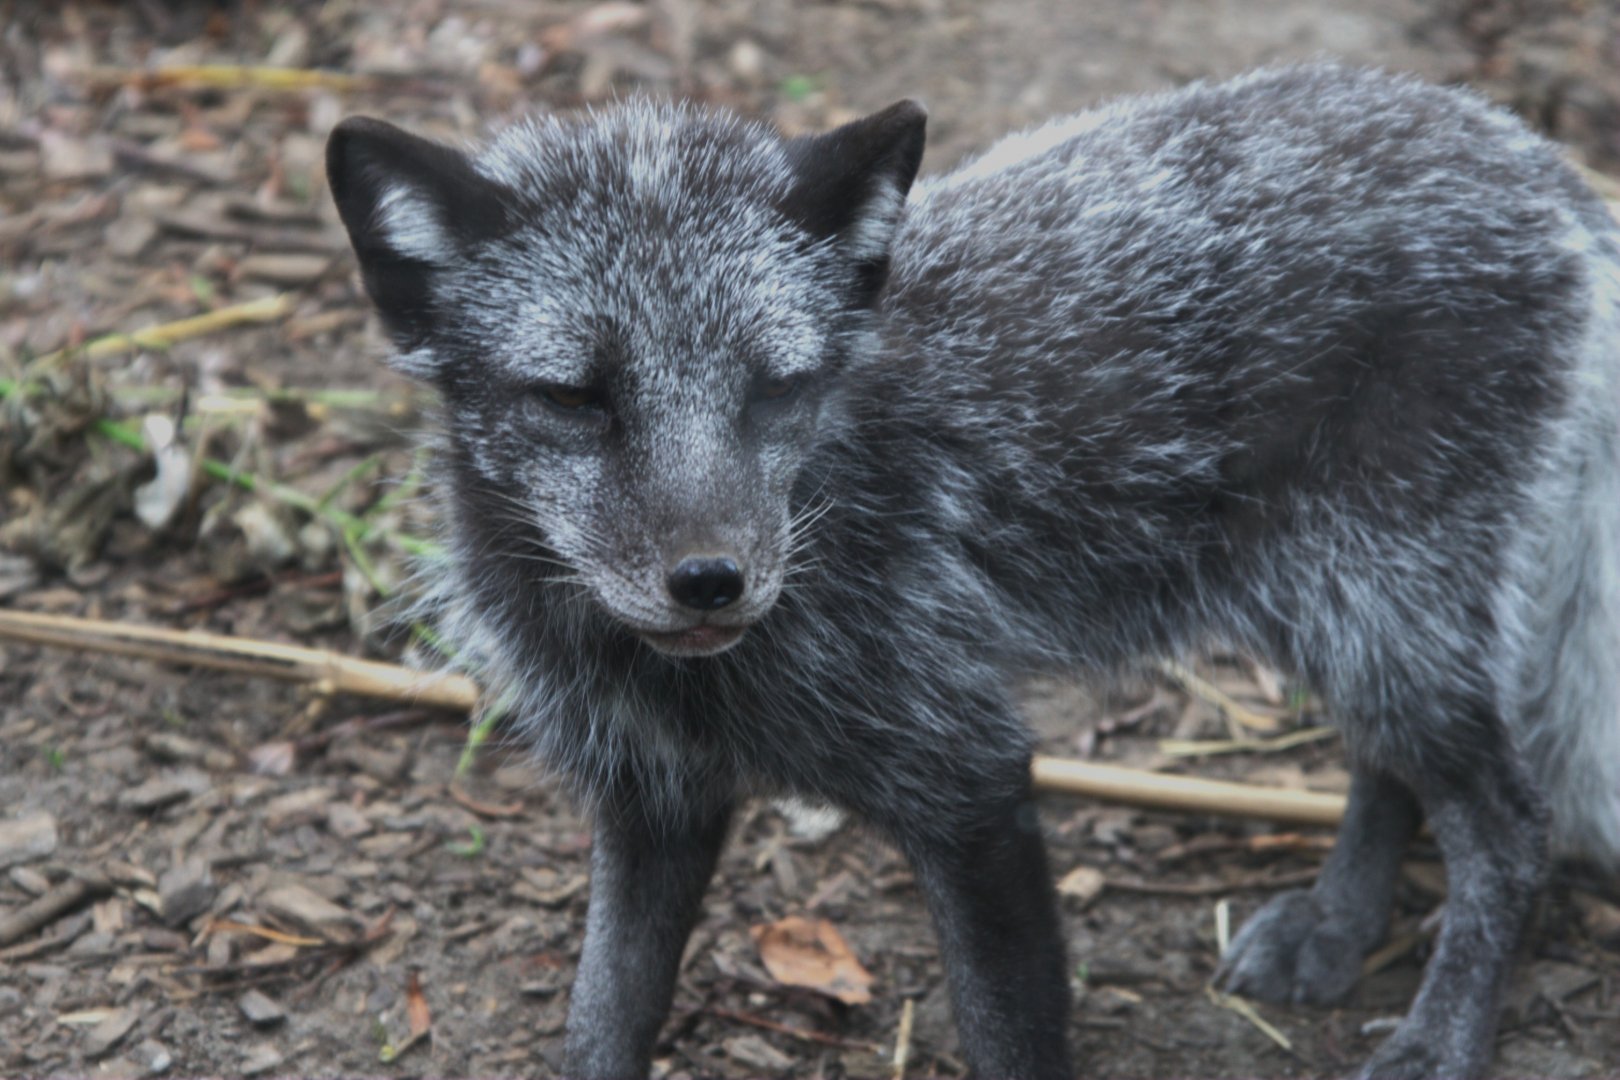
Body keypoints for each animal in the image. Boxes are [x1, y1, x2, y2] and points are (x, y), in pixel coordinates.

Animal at [326, 64, 1620, 1079]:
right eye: (576, 399)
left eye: (773, 389)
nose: (712, 582)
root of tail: (1535, 157)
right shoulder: (653, 800)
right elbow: (601, 1026)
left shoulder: (971, 781)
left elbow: (1009, 1035)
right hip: (1340, 616)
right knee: (1391, 771)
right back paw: (1339, 928)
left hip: (1376, 606)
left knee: (1512, 827)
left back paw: (1440, 1037)